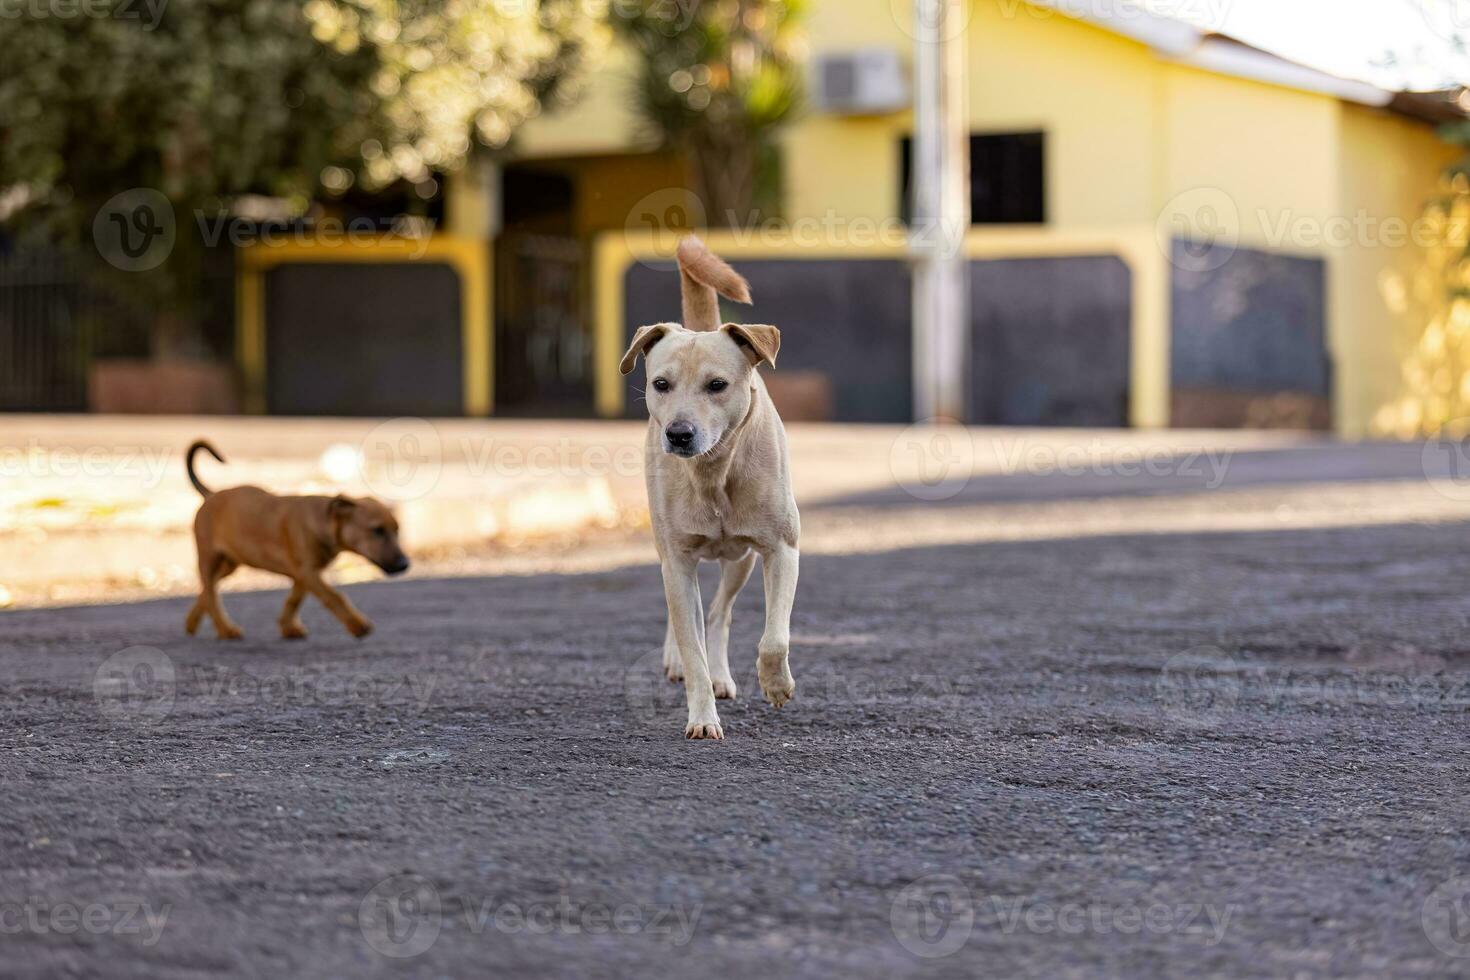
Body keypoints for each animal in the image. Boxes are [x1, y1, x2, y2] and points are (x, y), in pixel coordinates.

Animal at [186, 440, 414, 640]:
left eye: (397, 530)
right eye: (377, 530)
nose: (405, 564)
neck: (323, 521)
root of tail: (210, 495)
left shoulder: (304, 572)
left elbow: (294, 599)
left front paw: (288, 627)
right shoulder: (307, 571)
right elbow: (334, 596)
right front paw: (357, 625)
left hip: (230, 562)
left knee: (207, 590)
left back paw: (191, 623)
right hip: (208, 558)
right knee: (211, 595)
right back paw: (225, 630)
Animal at [620, 238, 805, 740]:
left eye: (717, 385)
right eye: (661, 384)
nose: (679, 434)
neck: (714, 472)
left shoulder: (781, 549)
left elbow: (774, 636)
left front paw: (776, 684)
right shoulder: (678, 562)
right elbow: (692, 647)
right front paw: (702, 717)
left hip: (740, 559)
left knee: (721, 613)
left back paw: (725, 674)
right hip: (668, 550)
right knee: (690, 619)